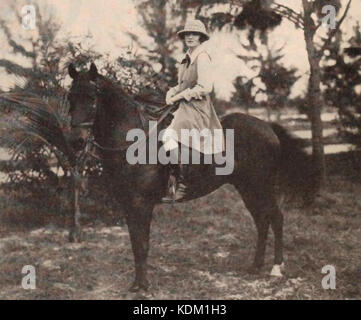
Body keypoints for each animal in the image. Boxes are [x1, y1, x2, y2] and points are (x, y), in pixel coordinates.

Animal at [67, 62, 316, 292]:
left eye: (92, 99)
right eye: (70, 98)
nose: (76, 142)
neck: (133, 142)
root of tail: (267, 126)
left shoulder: (142, 204)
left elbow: (142, 244)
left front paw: (143, 286)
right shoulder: (129, 205)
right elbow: (135, 242)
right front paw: (136, 284)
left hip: (261, 186)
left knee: (276, 218)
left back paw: (276, 268)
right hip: (247, 188)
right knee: (261, 221)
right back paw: (255, 266)